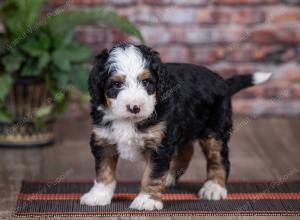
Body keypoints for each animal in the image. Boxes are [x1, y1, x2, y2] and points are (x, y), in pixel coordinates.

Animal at [79, 43, 272, 210]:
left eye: (146, 82)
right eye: (116, 84)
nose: (134, 107)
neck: (128, 120)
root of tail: (223, 82)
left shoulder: (159, 144)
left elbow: (152, 174)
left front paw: (147, 200)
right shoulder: (103, 139)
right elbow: (104, 170)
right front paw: (98, 195)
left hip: (215, 129)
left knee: (219, 158)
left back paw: (214, 188)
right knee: (186, 151)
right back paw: (170, 177)